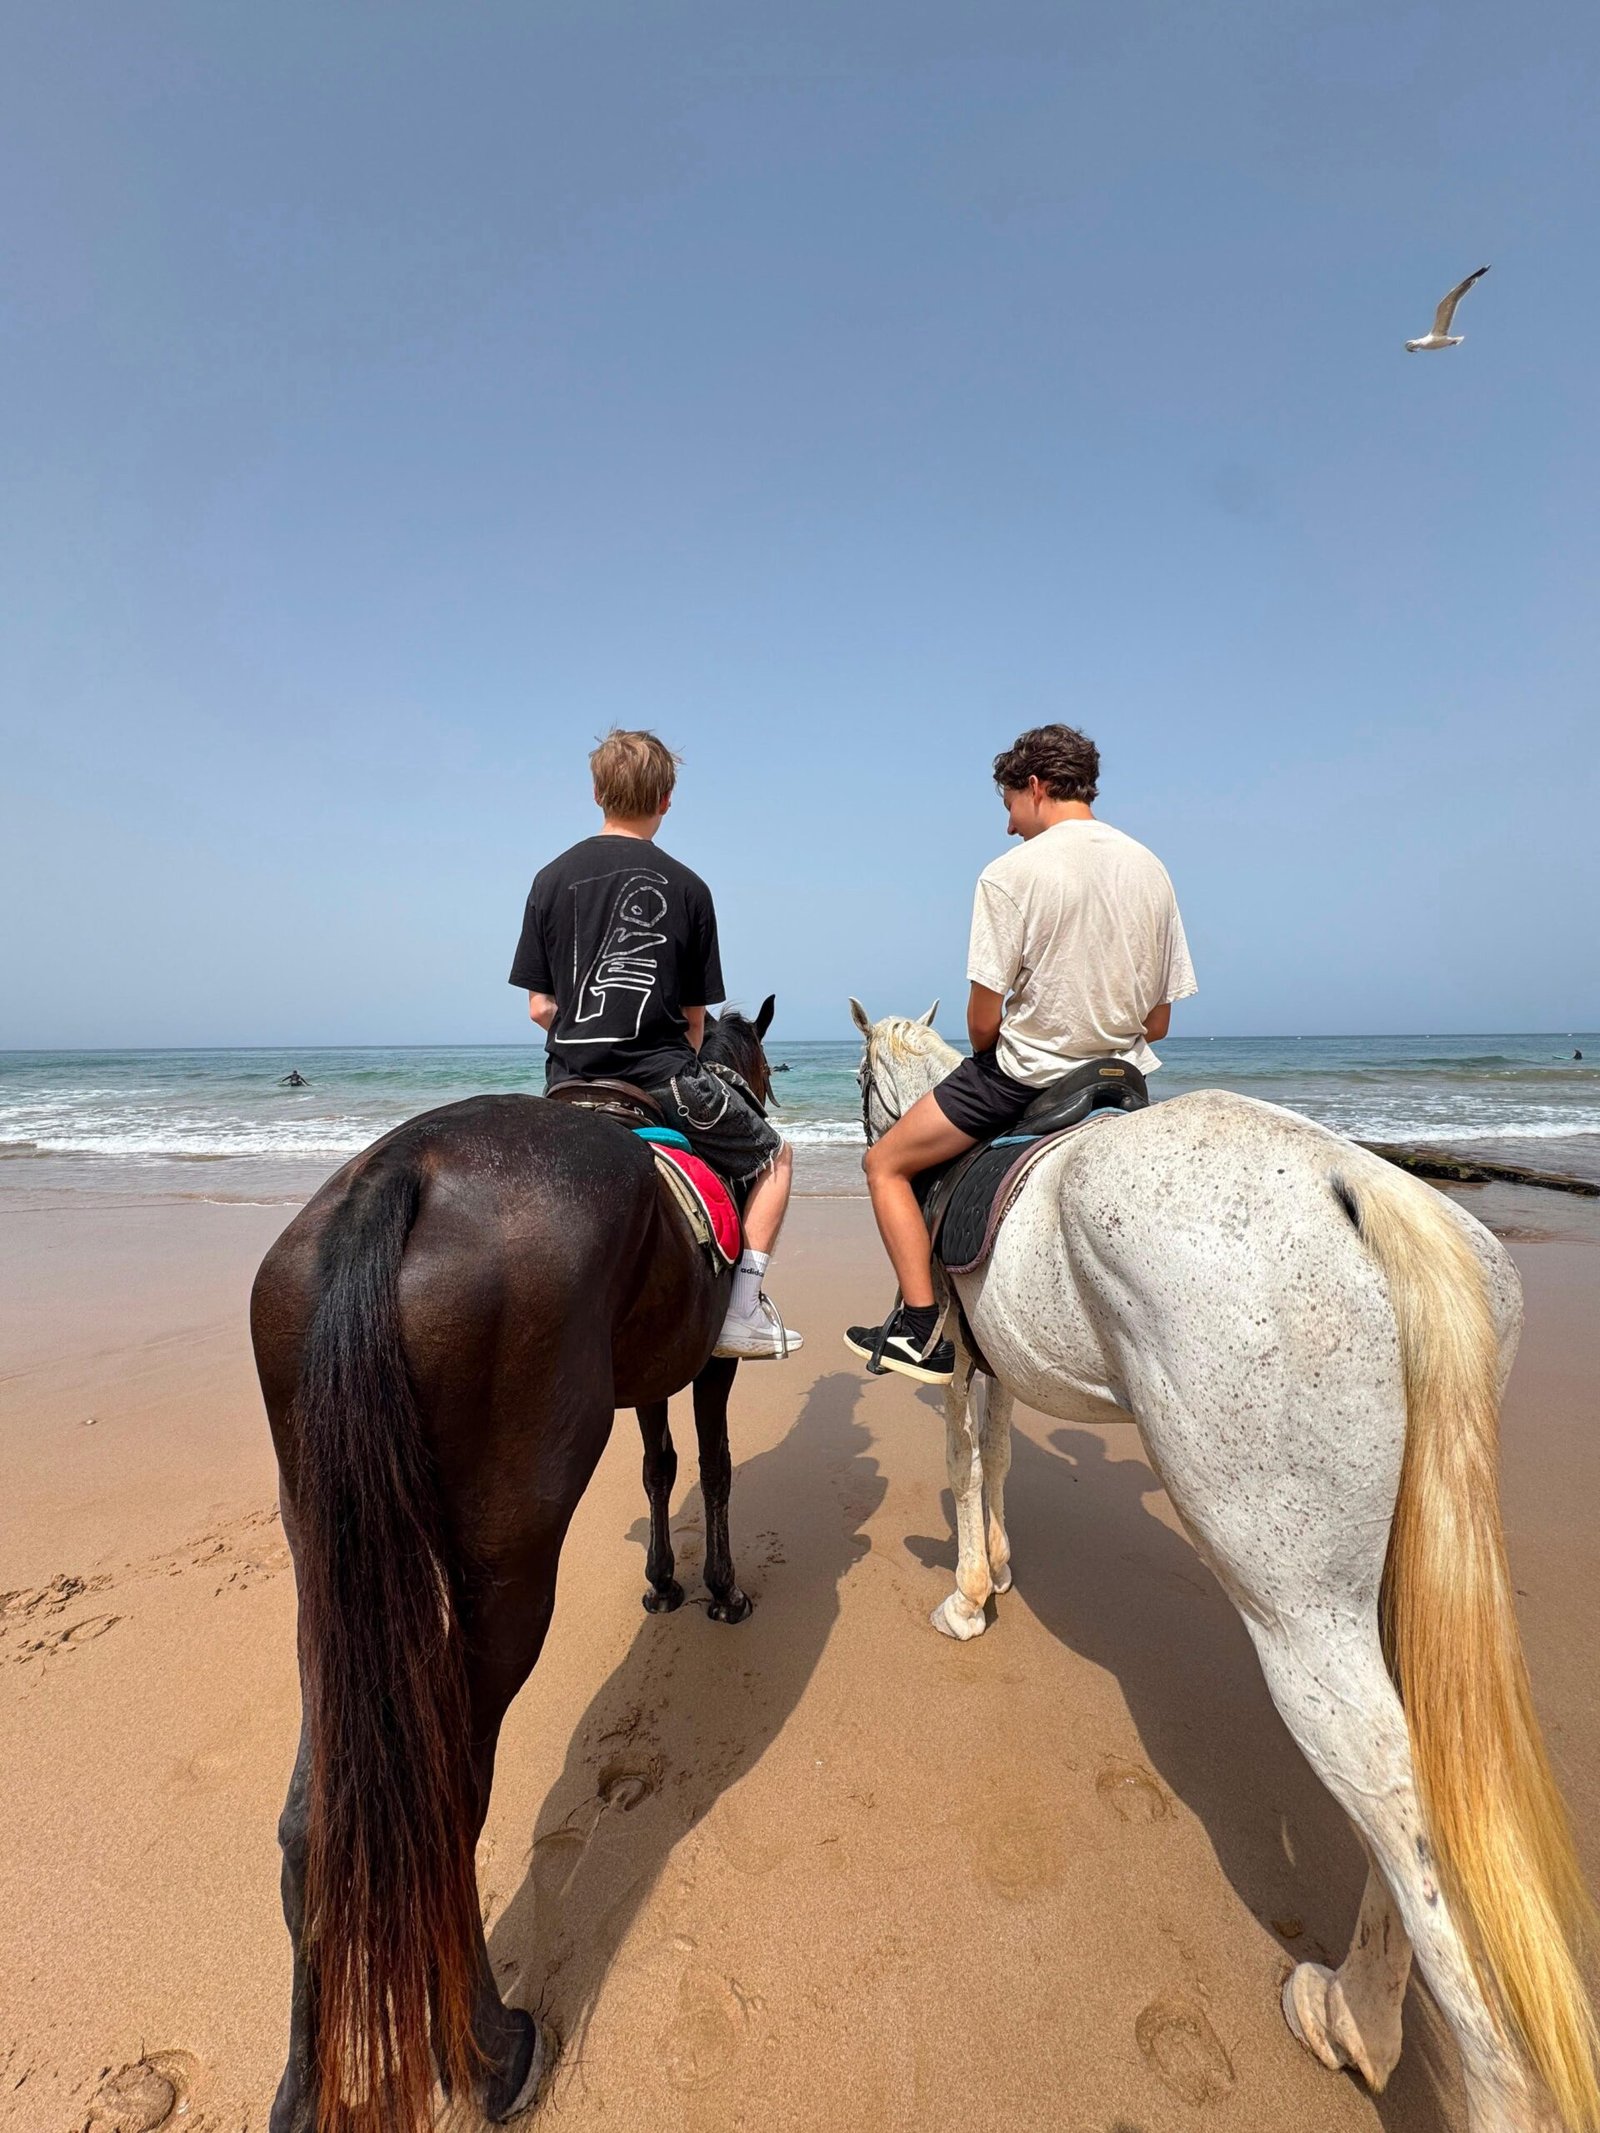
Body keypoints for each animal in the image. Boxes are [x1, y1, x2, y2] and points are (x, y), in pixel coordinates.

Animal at [250, 1001, 778, 2133]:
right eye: (755, 1061)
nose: (760, 1098)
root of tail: (396, 1174)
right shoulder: (706, 1360)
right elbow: (710, 1463)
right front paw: (716, 1588)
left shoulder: (652, 1369)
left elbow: (660, 1462)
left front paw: (665, 1581)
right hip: (506, 1570)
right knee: (447, 1801)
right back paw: (494, 2054)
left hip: (331, 1572)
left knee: (319, 1822)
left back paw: (308, 2090)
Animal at [850, 1001, 1598, 2133]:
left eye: (859, 1085)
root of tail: (1363, 1185)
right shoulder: (999, 1365)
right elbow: (1003, 1451)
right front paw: (1002, 1572)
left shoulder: (956, 1357)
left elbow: (964, 1457)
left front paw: (970, 1596)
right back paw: (1357, 2009)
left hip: (1295, 1602)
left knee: (1389, 1780)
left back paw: (1398, 2044)